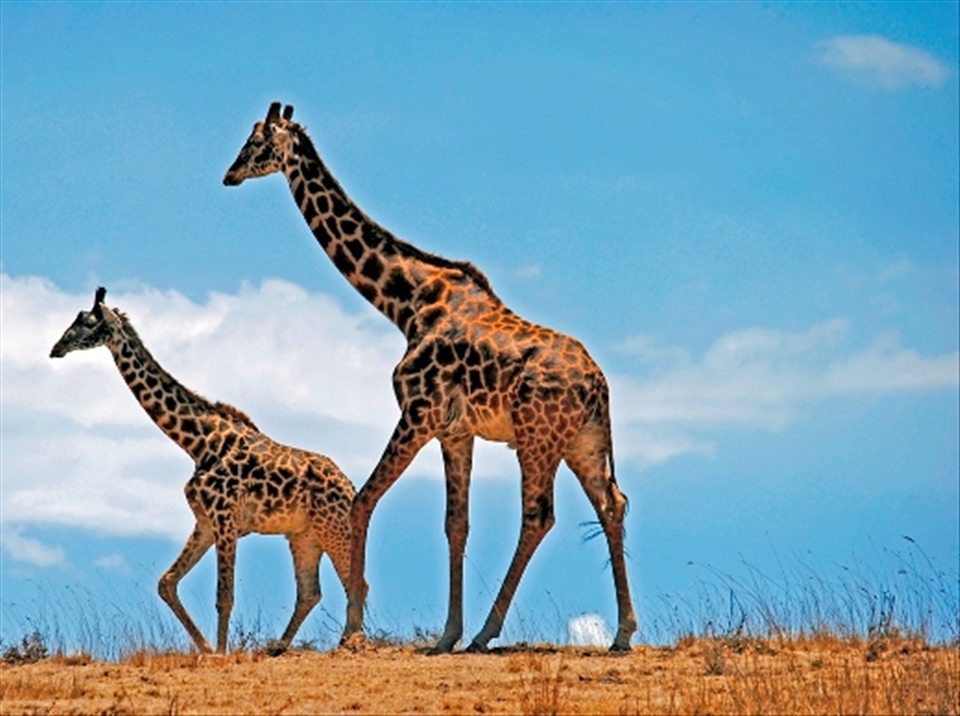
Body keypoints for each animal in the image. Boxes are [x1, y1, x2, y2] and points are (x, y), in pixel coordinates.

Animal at [50, 287, 359, 654]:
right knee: (310, 593)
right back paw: (279, 647)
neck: (196, 443)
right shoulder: (205, 522)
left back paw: (350, 642)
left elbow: (224, 595)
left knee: (356, 581)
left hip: (333, 527)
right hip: (304, 536)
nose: (56, 348)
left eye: (87, 322)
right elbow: (166, 582)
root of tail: (351, 488)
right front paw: (208, 648)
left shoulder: (225, 519)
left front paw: (221, 653)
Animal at [223, 102, 637, 653]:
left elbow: (362, 501)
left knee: (538, 514)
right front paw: (446, 634)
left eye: (257, 143)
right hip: (583, 441)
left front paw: (354, 629)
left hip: (537, 437)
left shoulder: (417, 412)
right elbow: (455, 524)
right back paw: (622, 632)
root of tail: (599, 385)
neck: (406, 302)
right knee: (613, 504)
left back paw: (488, 632)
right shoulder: (455, 431)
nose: (229, 175)